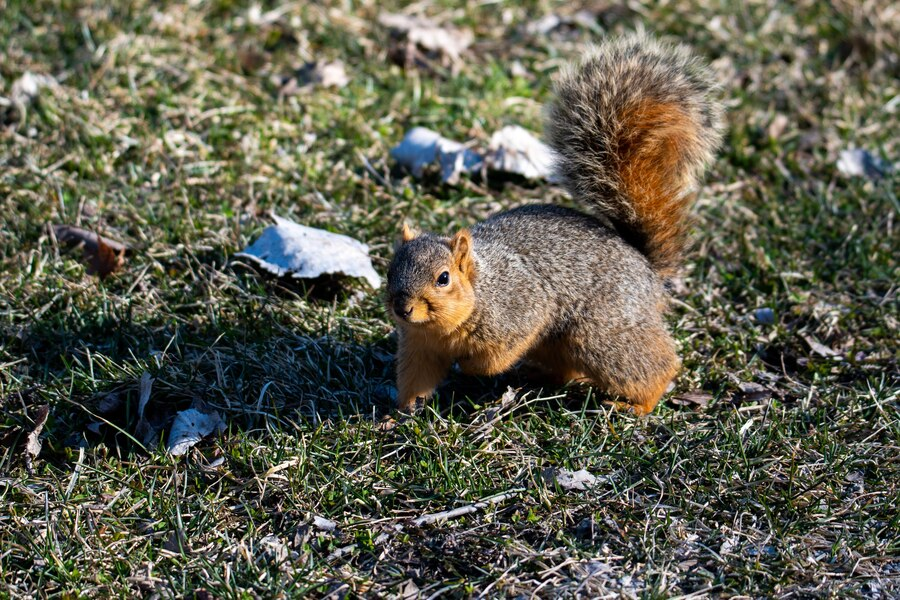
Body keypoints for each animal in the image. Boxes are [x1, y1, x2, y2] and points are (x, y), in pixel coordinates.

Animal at [386, 35, 724, 414]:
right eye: (389, 269)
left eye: (443, 278)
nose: (402, 308)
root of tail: (646, 268)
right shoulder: (419, 346)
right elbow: (416, 376)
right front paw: (401, 411)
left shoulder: (522, 310)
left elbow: (494, 357)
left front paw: (469, 367)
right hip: (562, 344)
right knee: (568, 371)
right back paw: (538, 375)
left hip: (600, 333)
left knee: (654, 366)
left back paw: (636, 405)